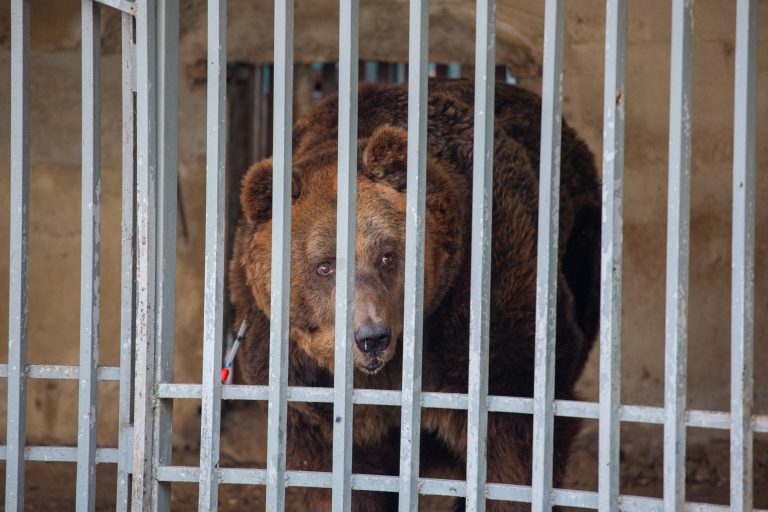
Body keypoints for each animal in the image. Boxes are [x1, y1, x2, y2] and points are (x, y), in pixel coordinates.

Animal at [228, 78, 601, 511]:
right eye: (324, 265)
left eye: (387, 256)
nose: (371, 337)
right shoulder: (299, 375)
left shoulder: (484, 296)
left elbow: (514, 435)